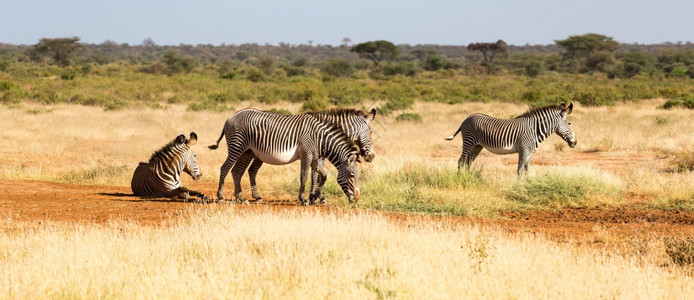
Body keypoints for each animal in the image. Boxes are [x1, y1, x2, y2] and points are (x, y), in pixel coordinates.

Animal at [208, 109, 362, 205]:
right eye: (352, 175)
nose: (357, 198)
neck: (320, 137)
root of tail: (231, 116)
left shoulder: (314, 158)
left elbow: (322, 176)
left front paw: (314, 196)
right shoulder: (306, 154)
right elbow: (304, 176)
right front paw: (304, 200)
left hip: (246, 151)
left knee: (237, 171)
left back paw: (241, 198)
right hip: (237, 147)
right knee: (225, 168)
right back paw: (221, 197)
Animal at [448, 102, 580, 176]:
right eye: (569, 123)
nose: (575, 142)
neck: (535, 130)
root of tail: (467, 117)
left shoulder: (530, 152)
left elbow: (527, 170)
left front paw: (527, 184)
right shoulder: (523, 150)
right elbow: (520, 170)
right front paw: (519, 186)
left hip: (477, 146)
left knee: (468, 162)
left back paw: (468, 178)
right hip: (469, 141)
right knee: (461, 161)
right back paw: (460, 179)